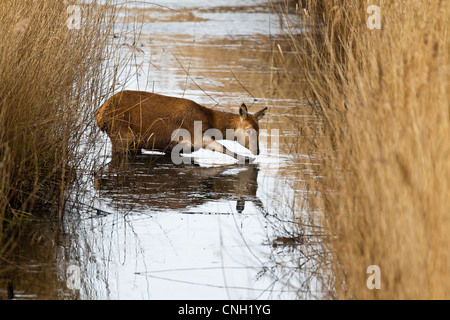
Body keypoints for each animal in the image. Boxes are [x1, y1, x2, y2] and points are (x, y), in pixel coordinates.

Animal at [93, 90, 266, 162]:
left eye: (259, 130)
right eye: (249, 130)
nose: (257, 151)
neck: (210, 121)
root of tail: (99, 114)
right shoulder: (194, 137)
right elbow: (222, 147)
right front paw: (246, 158)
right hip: (122, 137)